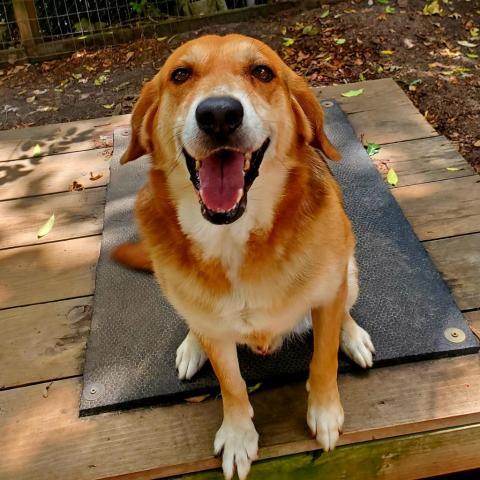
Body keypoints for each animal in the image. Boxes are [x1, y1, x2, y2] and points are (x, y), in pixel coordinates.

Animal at [113, 33, 376, 480]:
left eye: (262, 72)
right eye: (180, 75)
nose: (219, 113)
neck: (232, 238)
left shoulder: (328, 296)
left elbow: (323, 360)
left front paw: (324, 413)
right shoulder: (217, 332)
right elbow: (231, 385)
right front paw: (238, 436)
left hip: (350, 270)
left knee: (345, 308)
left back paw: (352, 334)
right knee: (195, 326)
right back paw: (192, 346)